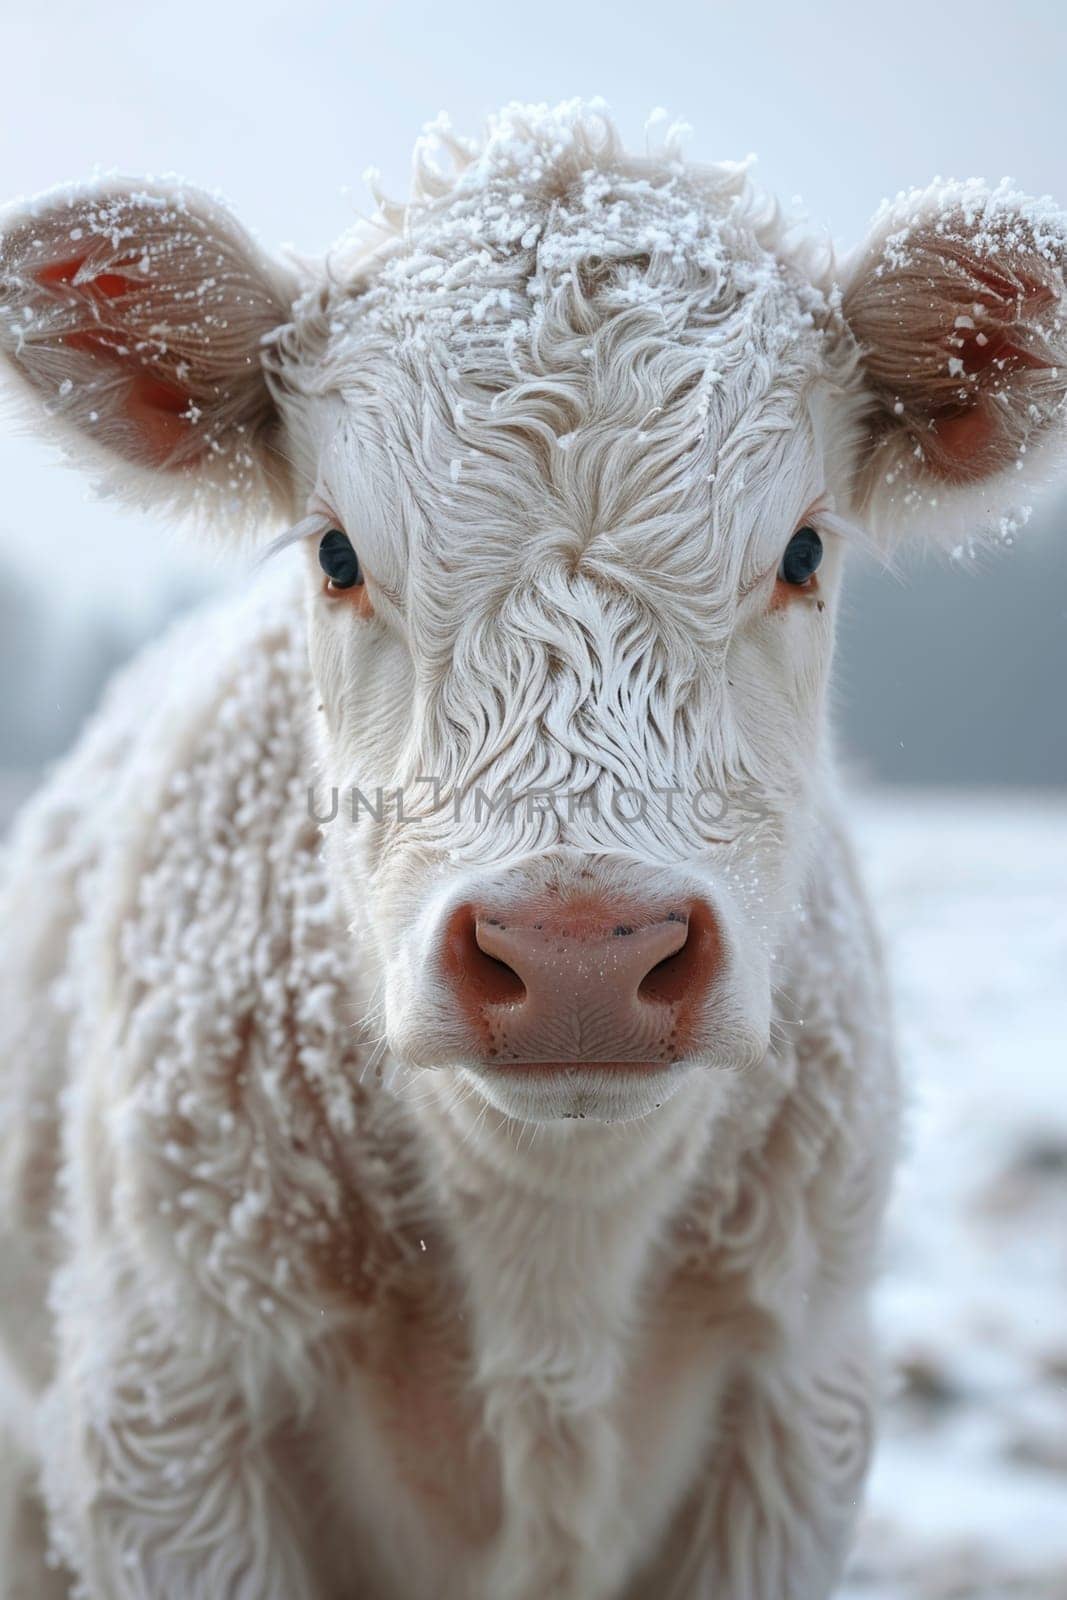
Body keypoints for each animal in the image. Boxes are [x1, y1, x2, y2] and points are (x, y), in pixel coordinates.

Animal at [0, 103, 1062, 1600]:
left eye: (801, 550)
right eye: (336, 554)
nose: (578, 955)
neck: (551, 1252)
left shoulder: (798, 1411)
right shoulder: (163, 1420)